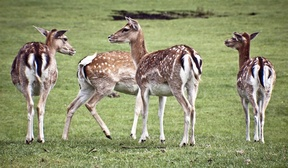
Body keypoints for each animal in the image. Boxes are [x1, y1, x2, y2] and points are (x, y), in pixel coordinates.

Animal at [108, 16, 202, 146]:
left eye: (125, 29)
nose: (110, 36)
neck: (140, 60)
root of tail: (190, 54)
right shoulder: (162, 93)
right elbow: (160, 114)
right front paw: (162, 139)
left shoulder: (143, 86)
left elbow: (144, 112)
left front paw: (142, 138)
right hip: (193, 84)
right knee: (193, 109)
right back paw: (192, 141)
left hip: (176, 84)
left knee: (187, 108)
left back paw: (183, 141)